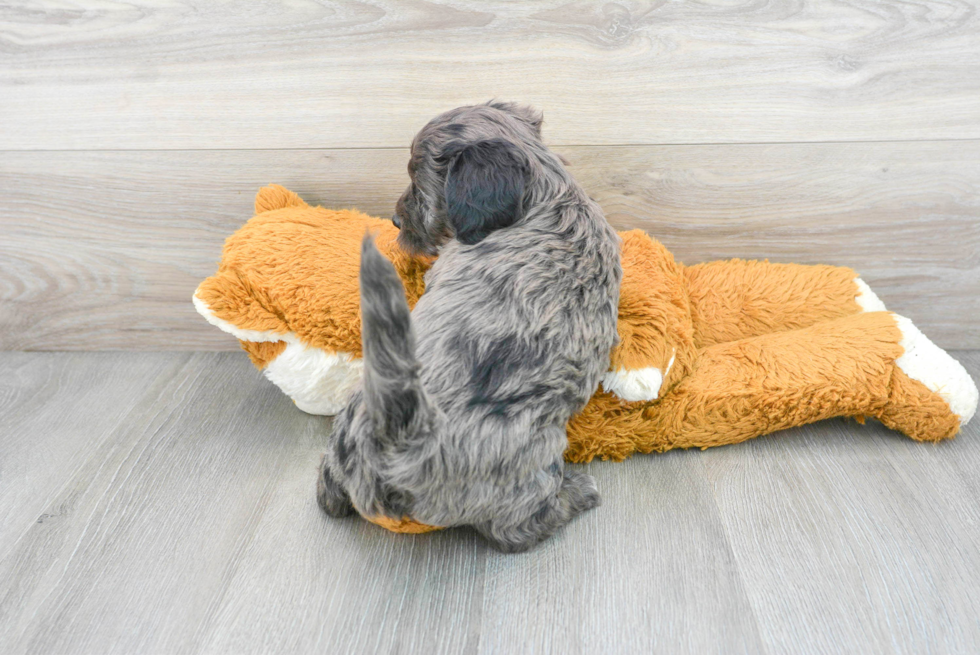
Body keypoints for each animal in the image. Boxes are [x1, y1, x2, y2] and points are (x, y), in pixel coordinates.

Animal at [316, 101, 620, 552]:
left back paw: (576, 493)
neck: (549, 197)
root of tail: (397, 445)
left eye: (418, 181)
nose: (394, 220)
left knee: (515, 530)